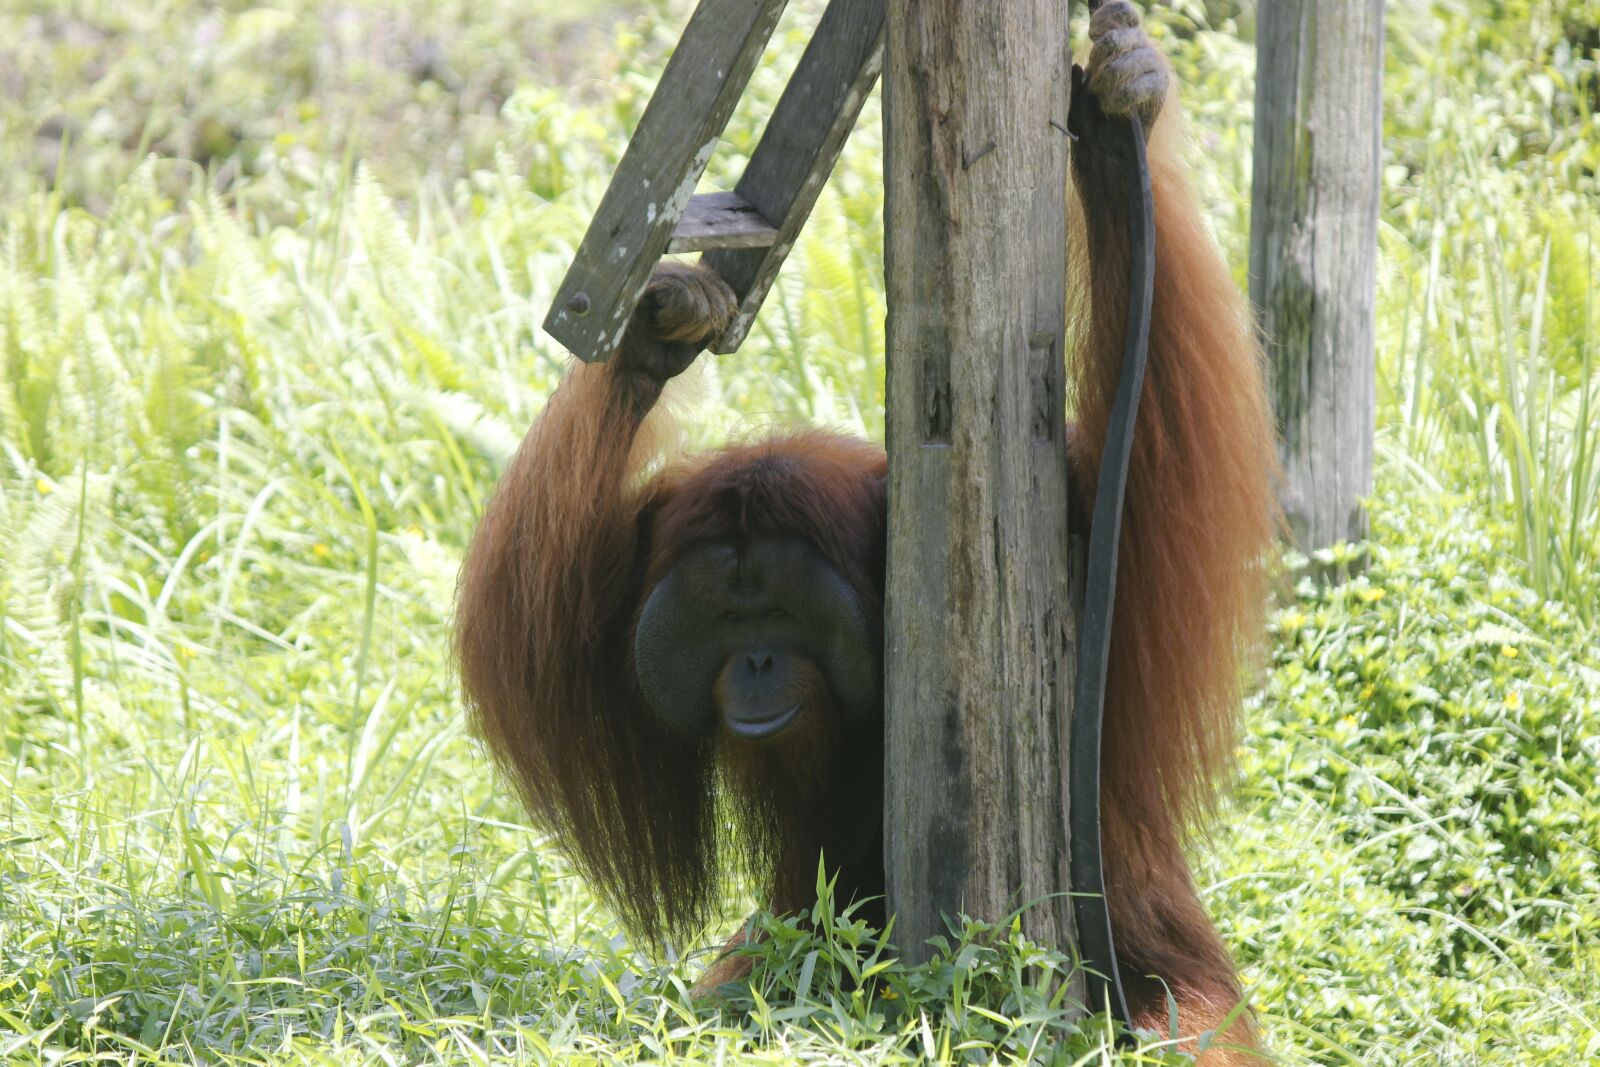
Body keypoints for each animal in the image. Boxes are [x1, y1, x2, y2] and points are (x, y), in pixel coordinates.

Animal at [456, 4, 1277, 1062]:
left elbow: (1156, 456)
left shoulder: (1084, 527)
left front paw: (1116, 114)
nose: (758, 661)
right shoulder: (633, 565)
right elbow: (537, 647)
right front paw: (654, 336)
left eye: (779, 614)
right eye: (728, 619)